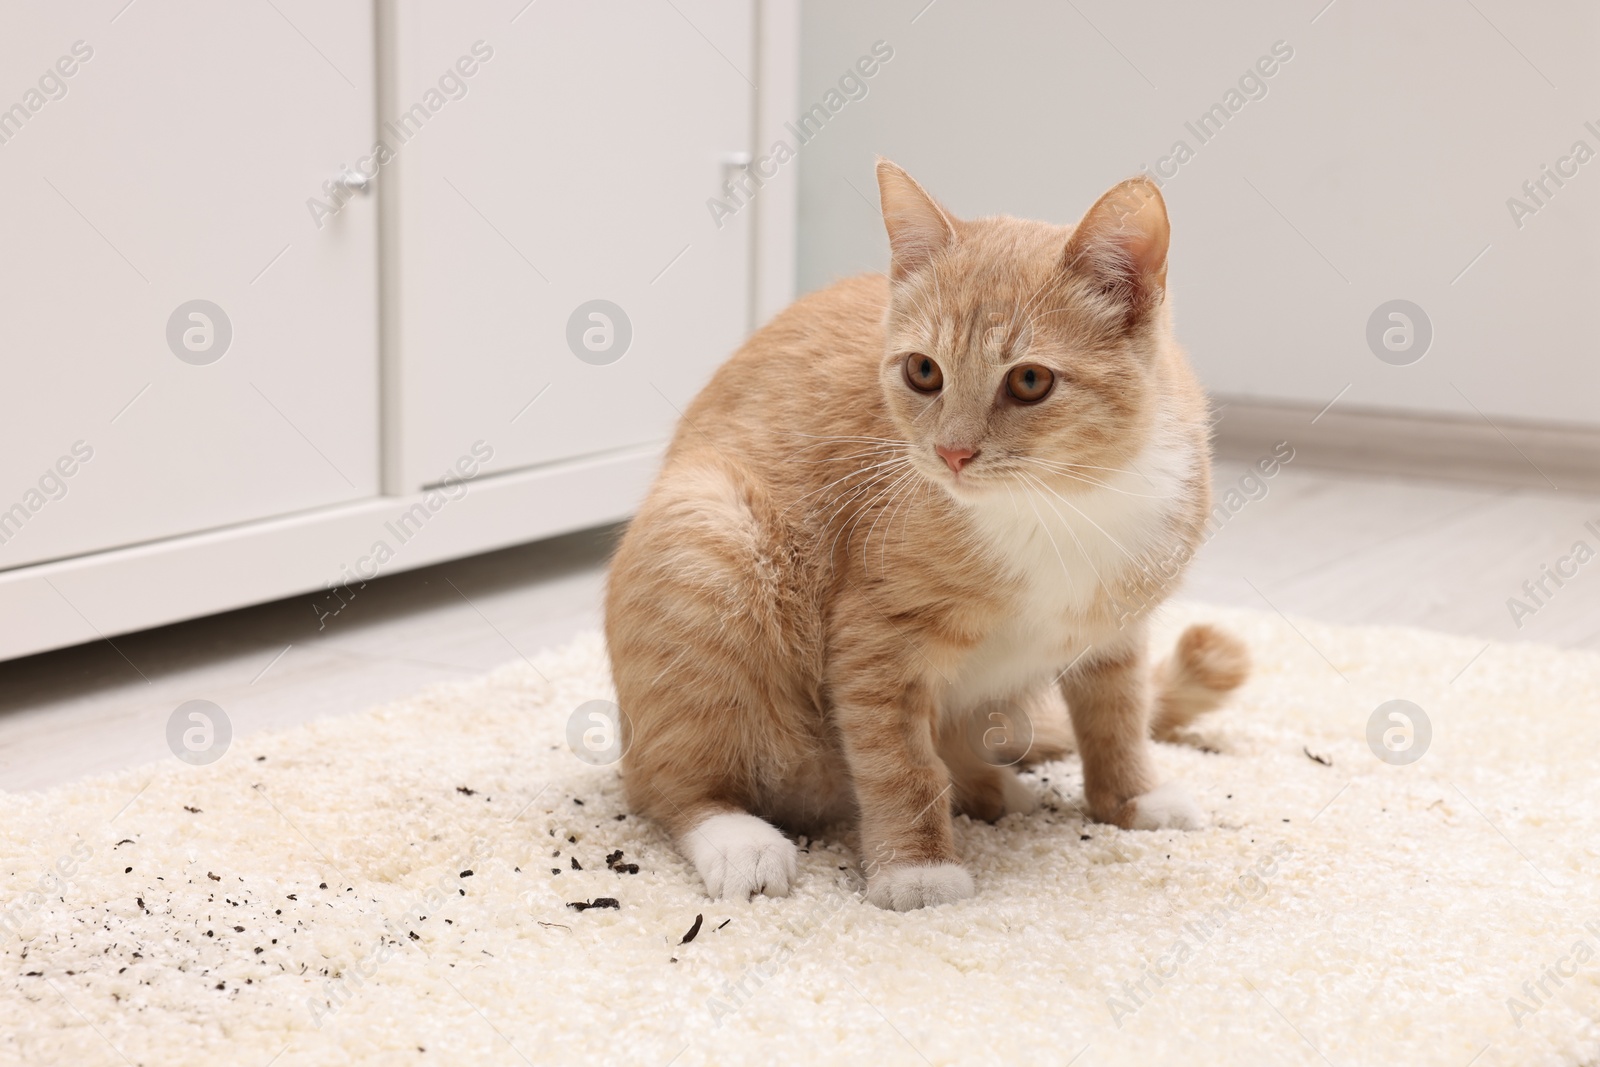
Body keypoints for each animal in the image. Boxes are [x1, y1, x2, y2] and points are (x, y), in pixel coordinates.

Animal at [604, 163, 1241, 915]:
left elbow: (1118, 714)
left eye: (1030, 380)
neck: (1058, 505)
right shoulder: (875, 638)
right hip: (708, 536)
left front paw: (1133, 799)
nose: (952, 452)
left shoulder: (1117, 626)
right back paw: (738, 838)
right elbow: (899, 762)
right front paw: (916, 871)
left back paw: (991, 786)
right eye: (923, 371)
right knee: (665, 781)